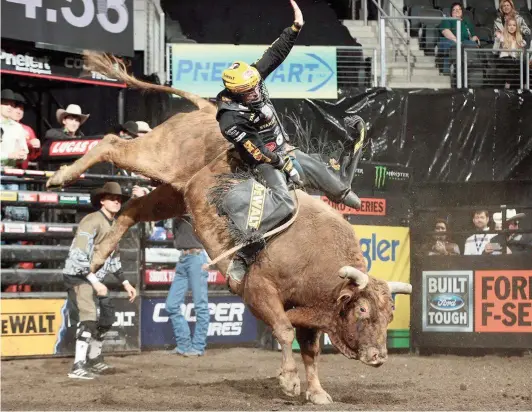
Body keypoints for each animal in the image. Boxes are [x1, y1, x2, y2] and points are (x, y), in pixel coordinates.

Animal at [46, 53, 412, 404]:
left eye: (390, 313)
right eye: (363, 309)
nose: (378, 356)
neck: (320, 264)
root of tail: (206, 108)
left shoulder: (312, 314)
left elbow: (311, 350)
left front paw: (317, 391)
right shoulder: (259, 290)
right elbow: (284, 330)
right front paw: (289, 381)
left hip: (176, 195)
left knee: (132, 210)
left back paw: (96, 257)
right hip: (157, 155)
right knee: (110, 143)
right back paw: (61, 176)